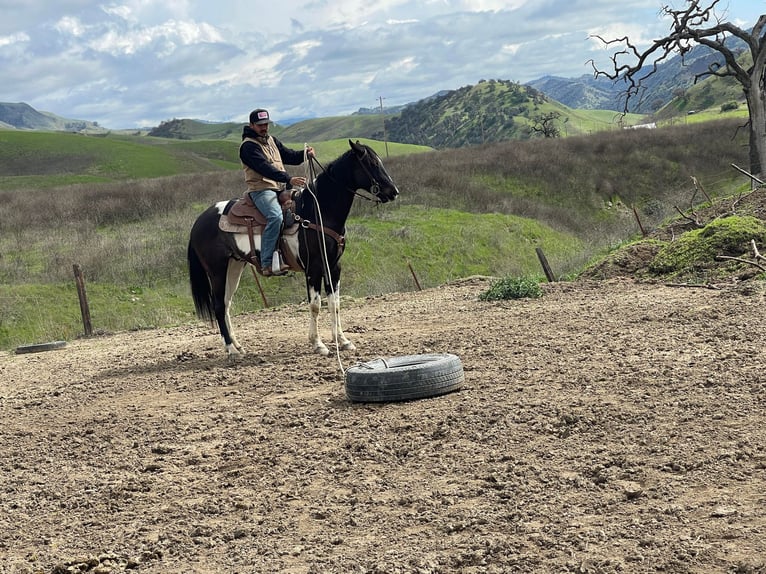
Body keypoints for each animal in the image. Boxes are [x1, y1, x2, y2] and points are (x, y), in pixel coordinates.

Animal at [188, 140, 402, 358]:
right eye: (371, 163)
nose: (393, 191)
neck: (318, 211)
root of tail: (199, 222)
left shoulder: (334, 266)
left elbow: (335, 304)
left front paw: (342, 341)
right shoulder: (313, 268)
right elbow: (315, 305)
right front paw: (318, 344)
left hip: (234, 267)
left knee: (226, 304)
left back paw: (237, 345)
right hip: (217, 271)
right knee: (218, 305)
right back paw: (231, 350)